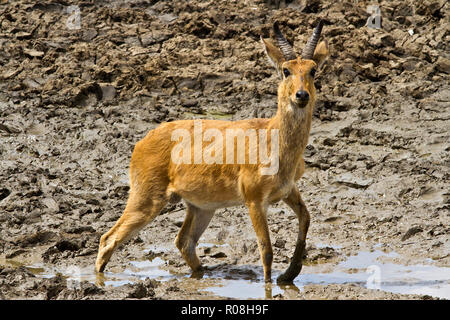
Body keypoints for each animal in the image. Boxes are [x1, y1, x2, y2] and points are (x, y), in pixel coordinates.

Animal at [96, 20, 326, 282]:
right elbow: (266, 250)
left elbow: (306, 218)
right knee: (108, 238)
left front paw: (289, 274)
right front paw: (273, 283)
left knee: (184, 242)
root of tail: (142, 142)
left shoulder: (288, 189)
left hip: (201, 207)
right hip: (146, 199)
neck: (273, 137)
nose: (301, 95)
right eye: (286, 70)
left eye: (313, 70)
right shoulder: (255, 201)